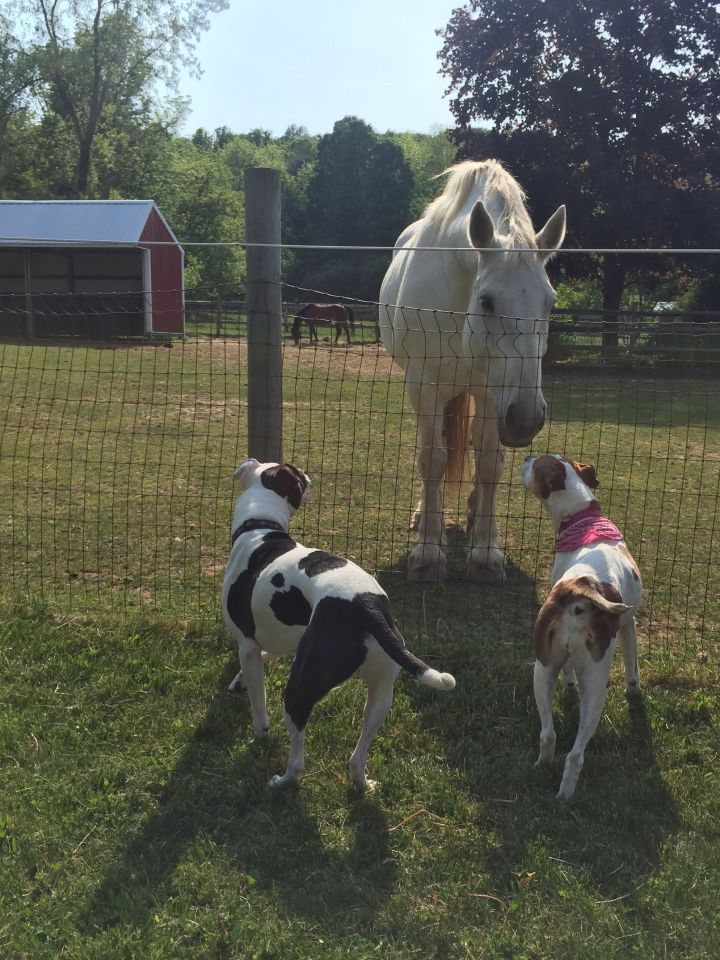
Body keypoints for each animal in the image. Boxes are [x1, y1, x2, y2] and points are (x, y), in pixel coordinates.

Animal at [221, 458, 456, 788]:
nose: (306, 475)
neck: (259, 528)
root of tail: (366, 606)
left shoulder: (247, 646)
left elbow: (258, 702)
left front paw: (258, 735)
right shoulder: (285, 640)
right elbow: (267, 656)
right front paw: (238, 681)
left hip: (299, 689)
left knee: (298, 761)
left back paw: (281, 781)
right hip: (382, 694)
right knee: (357, 756)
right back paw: (362, 784)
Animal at [380, 160, 564, 580]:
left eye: (549, 302)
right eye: (488, 300)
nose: (526, 417)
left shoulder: (492, 392)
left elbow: (490, 464)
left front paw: (485, 552)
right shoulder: (423, 384)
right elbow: (431, 459)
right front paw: (428, 552)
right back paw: (425, 518)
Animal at [520, 454, 644, 800]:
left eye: (536, 463)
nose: (526, 455)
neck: (582, 518)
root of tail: (581, 590)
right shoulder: (628, 625)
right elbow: (632, 666)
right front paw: (634, 692)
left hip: (541, 668)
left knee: (548, 734)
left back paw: (544, 768)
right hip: (597, 683)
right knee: (576, 753)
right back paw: (566, 794)